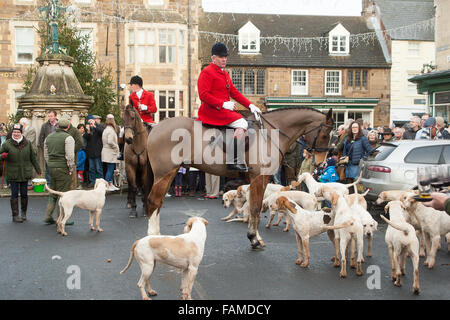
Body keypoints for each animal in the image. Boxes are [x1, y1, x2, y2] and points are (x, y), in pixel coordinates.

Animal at [145, 106, 334, 249]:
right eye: (325, 135)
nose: (321, 163)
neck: (270, 134)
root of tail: (156, 127)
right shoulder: (259, 177)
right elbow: (255, 208)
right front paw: (254, 238)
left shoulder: (260, 179)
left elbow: (254, 207)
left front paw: (255, 237)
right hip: (164, 173)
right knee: (154, 201)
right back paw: (153, 237)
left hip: (168, 174)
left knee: (158, 202)